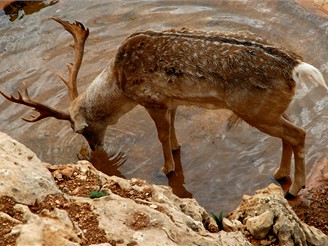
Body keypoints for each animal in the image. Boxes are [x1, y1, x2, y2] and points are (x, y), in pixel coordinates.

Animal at [1, 17, 326, 198]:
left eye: (81, 130)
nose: (94, 149)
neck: (120, 81)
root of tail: (296, 67)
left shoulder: (151, 99)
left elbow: (160, 135)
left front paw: (166, 169)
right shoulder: (171, 101)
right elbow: (172, 132)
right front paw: (176, 150)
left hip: (255, 110)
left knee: (298, 133)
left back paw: (294, 189)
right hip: (271, 108)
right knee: (289, 134)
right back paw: (279, 175)